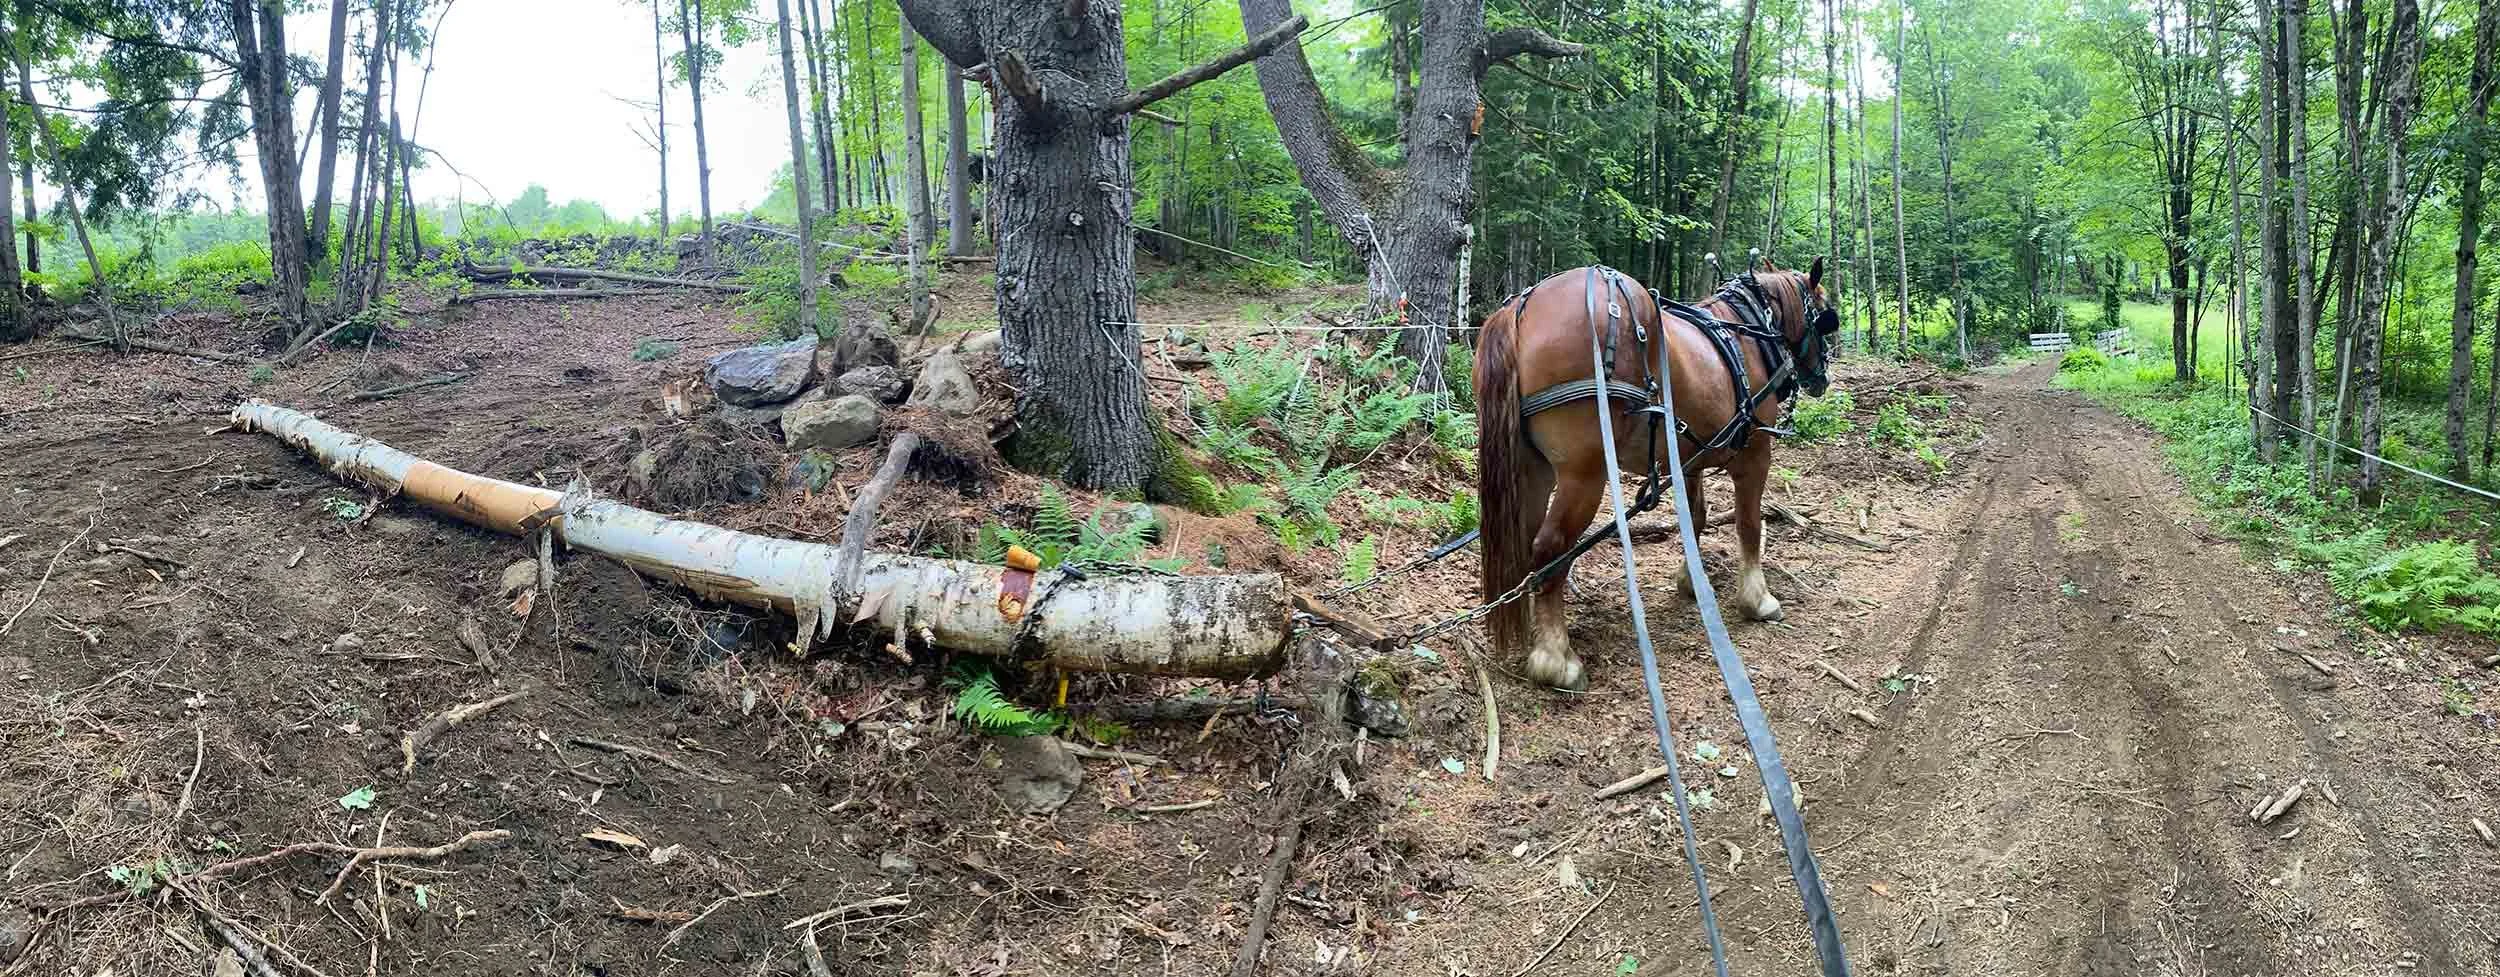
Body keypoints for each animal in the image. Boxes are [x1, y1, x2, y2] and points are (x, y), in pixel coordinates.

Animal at [1473, 259, 1841, 690]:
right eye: (1825, 316)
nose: (1821, 377)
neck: (1747, 333)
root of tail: (1520, 311)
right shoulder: (1756, 454)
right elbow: (1749, 525)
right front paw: (1757, 599)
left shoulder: (1690, 458)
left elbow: (1695, 518)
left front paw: (1692, 582)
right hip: (1585, 473)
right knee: (1550, 548)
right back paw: (1555, 659)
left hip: (1532, 469)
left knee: (1526, 543)